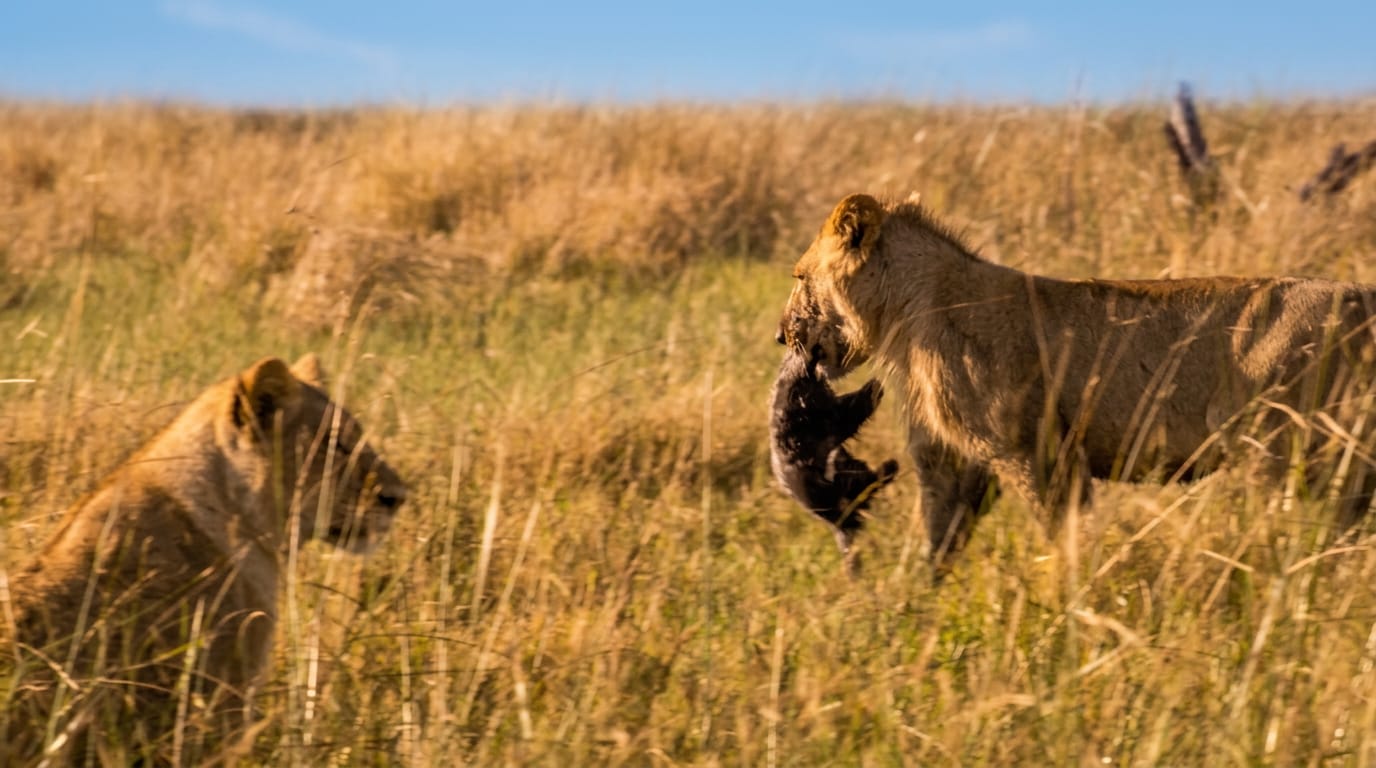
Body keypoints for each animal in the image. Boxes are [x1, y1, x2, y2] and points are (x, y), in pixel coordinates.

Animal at [769, 344, 899, 573]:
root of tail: (838, 524)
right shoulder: (828, 417)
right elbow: (850, 412)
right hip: (848, 481)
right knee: (869, 484)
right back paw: (889, 467)